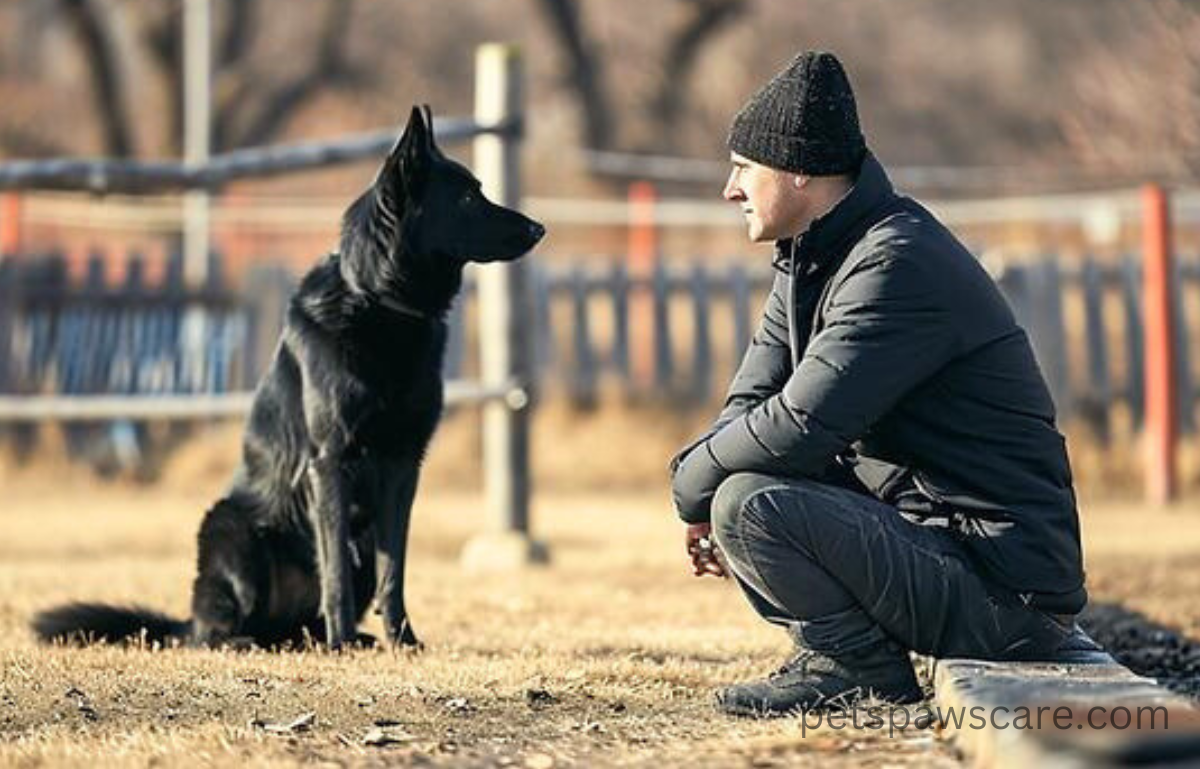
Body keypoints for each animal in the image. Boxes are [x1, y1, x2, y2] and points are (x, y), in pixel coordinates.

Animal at [32, 106, 547, 647]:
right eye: (468, 197)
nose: (539, 228)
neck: (379, 302)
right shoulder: (330, 461)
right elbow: (335, 569)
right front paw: (342, 642)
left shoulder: (405, 464)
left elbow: (395, 568)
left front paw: (401, 640)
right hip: (230, 531)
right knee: (218, 628)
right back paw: (264, 640)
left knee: (306, 616)